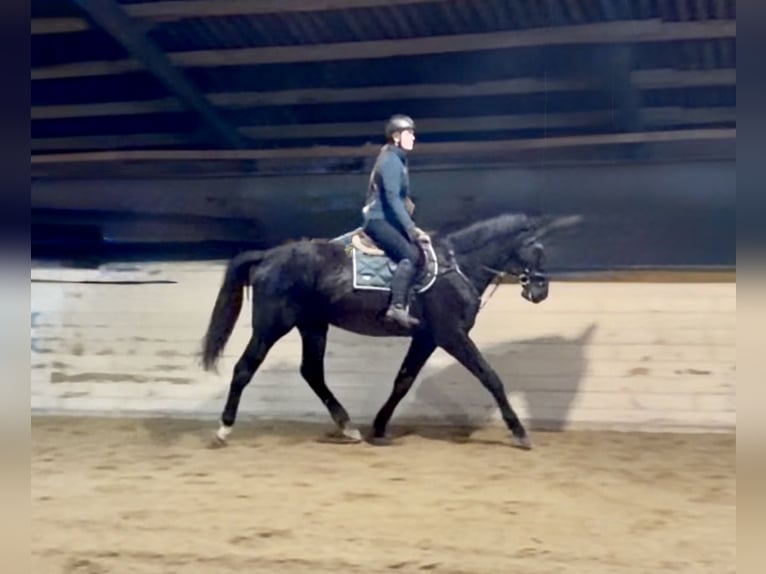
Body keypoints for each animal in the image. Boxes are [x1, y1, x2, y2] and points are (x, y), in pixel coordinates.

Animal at [200, 212, 574, 450]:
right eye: (537, 249)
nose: (540, 291)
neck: (457, 266)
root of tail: (268, 256)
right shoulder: (451, 335)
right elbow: (490, 377)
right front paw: (520, 433)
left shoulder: (426, 338)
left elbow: (403, 381)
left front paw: (379, 428)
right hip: (272, 326)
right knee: (244, 369)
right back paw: (223, 430)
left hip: (313, 325)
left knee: (312, 372)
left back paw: (349, 428)